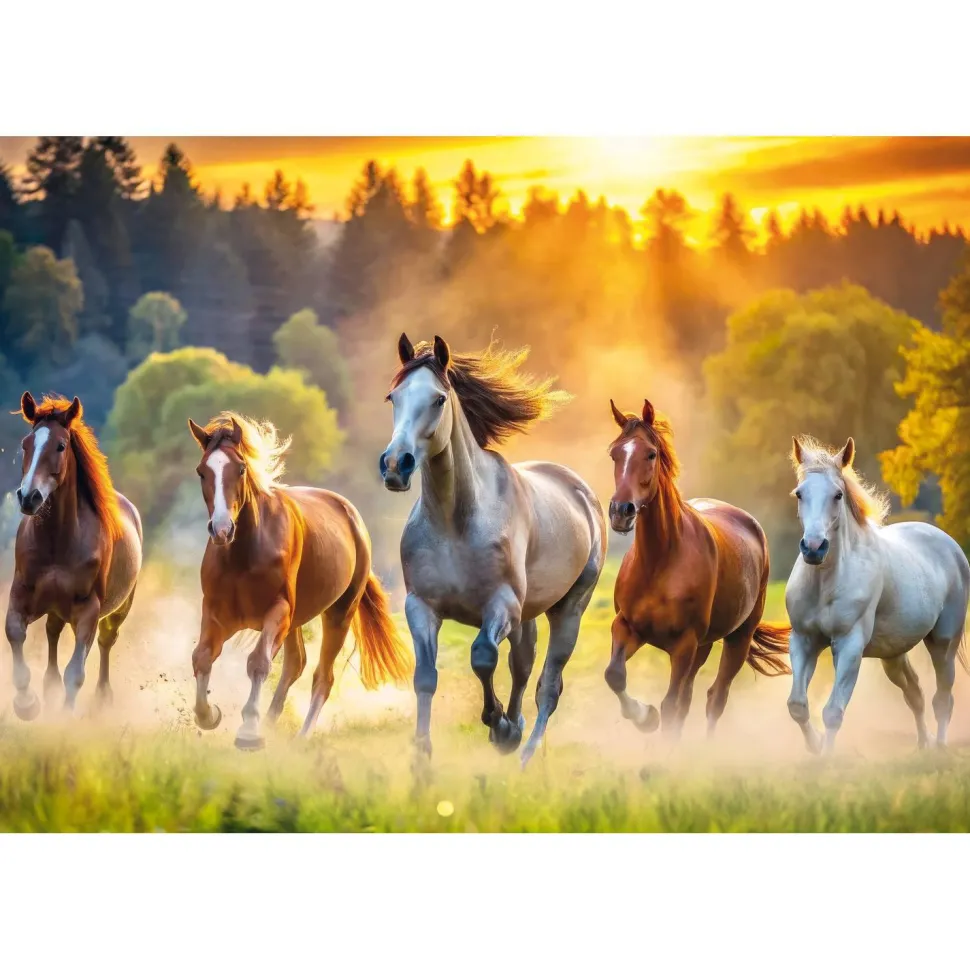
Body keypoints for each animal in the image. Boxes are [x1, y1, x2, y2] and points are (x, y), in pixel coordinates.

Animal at [4, 392, 143, 718]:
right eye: (26, 444)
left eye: (60, 446)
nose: (28, 497)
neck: (59, 542)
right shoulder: (21, 595)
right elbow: (15, 634)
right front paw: (26, 703)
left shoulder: (88, 611)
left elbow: (76, 672)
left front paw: (65, 718)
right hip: (56, 608)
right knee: (53, 633)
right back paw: (49, 689)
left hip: (118, 610)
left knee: (105, 642)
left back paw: (103, 698)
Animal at [187, 411, 412, 750]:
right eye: (202, 472)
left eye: (240, 469)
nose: (222, 529)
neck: (244, 553)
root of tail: (352, 517)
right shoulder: (217, 614)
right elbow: (202, 657)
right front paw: (209, 715)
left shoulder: (277, 612)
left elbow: (258, 662)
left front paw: (248, 732)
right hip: (295, 621)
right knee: (296, 664)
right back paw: (270, 723)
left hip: (337, 615)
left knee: (322, 677)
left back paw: (301, 736)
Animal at [380, 334, 606, 768]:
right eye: (392, 396)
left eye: (438, 399)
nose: (396, 465)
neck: (456, 523)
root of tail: (580, 491)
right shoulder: (421, 606)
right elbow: (425, 677)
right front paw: (422, 759)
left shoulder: (500, 605)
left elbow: (482, 656)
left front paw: (498, 725)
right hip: (528, 616)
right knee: (523, 666)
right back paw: (516, 730)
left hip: (568, 608)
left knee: (548, 685)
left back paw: (523, 753)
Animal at [604, 398, 791, 738]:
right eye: (615, 453)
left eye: (650, 454)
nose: (621, 512)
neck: (659, 562)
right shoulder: (627, 627)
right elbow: (615, 675)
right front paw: (644, 717)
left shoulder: (684, 644)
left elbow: (669, 705)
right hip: (704, 646)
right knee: (690, 698)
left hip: (736, 639)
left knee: (715, 696)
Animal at [785, 435, 970, 754]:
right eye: (800, 493)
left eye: (837, 495)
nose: (814, 548)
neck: (825, 583)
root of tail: (949, 545)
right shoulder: (804, 640)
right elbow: (798, 705)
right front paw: (815, 747)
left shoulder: (849, 645)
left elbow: (833, 711)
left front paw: (824, 758)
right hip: (893, 655)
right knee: (915, 693)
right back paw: (923, 745)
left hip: (943, 643)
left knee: (942, 698)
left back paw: (940, 747)